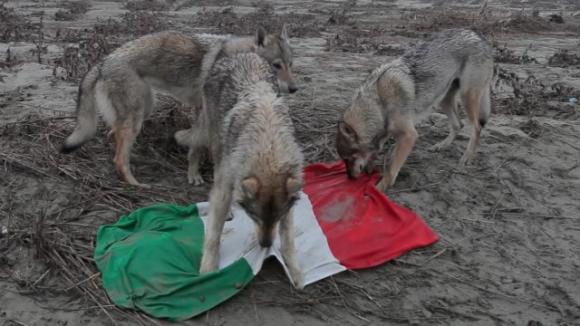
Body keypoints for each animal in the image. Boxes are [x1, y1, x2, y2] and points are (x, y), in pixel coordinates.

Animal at [59, 26, 296, 187]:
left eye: (290, 64)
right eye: (276, 66)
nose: (294, 88)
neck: (239, 55)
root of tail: (103, 62)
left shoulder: (202, 112)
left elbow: (199, 145)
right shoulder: (206, 113)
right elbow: (197, 149)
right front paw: (194, 176)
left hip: (145, 109)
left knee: (114, 135)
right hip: (137, 116)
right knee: (119, 159)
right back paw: (136, 184)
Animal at [190, 52, 306, 288]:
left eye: (277, 217)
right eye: (254, 216)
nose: (266, 245)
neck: (268, 144)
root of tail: (241, 54)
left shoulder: (290, 200)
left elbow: (288, 238)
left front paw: (295, 270)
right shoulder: (226, 184)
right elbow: (213, 234)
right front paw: (208, 269)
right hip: (216, 142)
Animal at [336, 28, 494, 191]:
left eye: (348, 159)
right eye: (344, 160)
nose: (349, 178)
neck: (379, 103)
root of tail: (478, 35)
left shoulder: (409, 135)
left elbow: (391, 170)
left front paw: (378, 188)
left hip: (467, 97)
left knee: (477, 127)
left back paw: (467, 156)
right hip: (443, 99)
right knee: (458, 124)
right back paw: (441, 146)